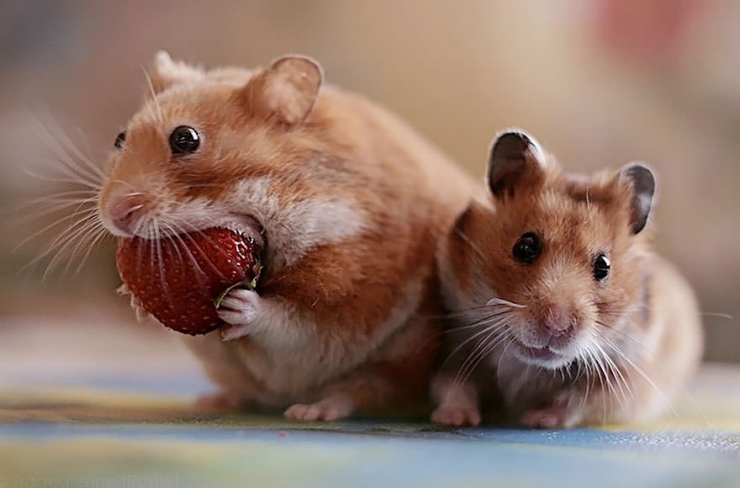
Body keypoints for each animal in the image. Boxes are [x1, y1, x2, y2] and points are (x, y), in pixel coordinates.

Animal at [98, 52, 477, 420]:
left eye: (185, 138)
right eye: (119, 139)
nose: (116, 214)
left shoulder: (344, 293)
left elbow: (290, 323)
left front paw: (239, 305)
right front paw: (134, 300)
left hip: (397, 359)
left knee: (359, 392)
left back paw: (310, 412)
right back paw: (215, 401)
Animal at [431, 130, 703, 428]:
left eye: (604, 266)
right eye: (525, 247)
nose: (556, 326)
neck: (527, 366)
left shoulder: (624, 377)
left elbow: (576, 402)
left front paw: (535, 419)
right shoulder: (455, 346)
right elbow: (453, 385)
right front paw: (453, 419)